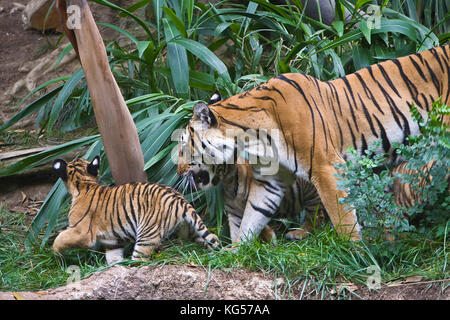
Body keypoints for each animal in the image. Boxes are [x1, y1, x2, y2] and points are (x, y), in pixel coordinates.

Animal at [51, 155, 220, 262]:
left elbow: (61, 238)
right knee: (210, 238)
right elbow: (113, 258)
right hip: (188, 229)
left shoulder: (82, 232)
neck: (84, 183)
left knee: (141, 259)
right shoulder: (113, 241)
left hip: (146, 234)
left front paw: (56, 253)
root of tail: (179, 199)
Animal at [178, 45, 448, 242]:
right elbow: (253, 214)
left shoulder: (326, 166)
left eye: (182, 146)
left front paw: (356, 254)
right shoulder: (270, 180)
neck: (250, 139)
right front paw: (238, 250)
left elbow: (342, 216)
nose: (178, 172)